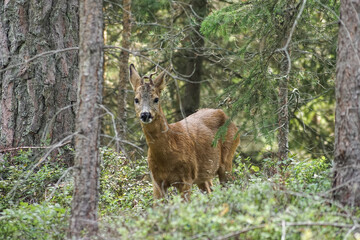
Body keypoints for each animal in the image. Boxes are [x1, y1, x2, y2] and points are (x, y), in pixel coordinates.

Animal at [128, 64, 240, 201]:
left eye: (156, 99)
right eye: (136, 99)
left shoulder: (186, 178)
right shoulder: (157, 181)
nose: (145, 115)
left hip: (227, 159)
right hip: (203, 175)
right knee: (210, 191)